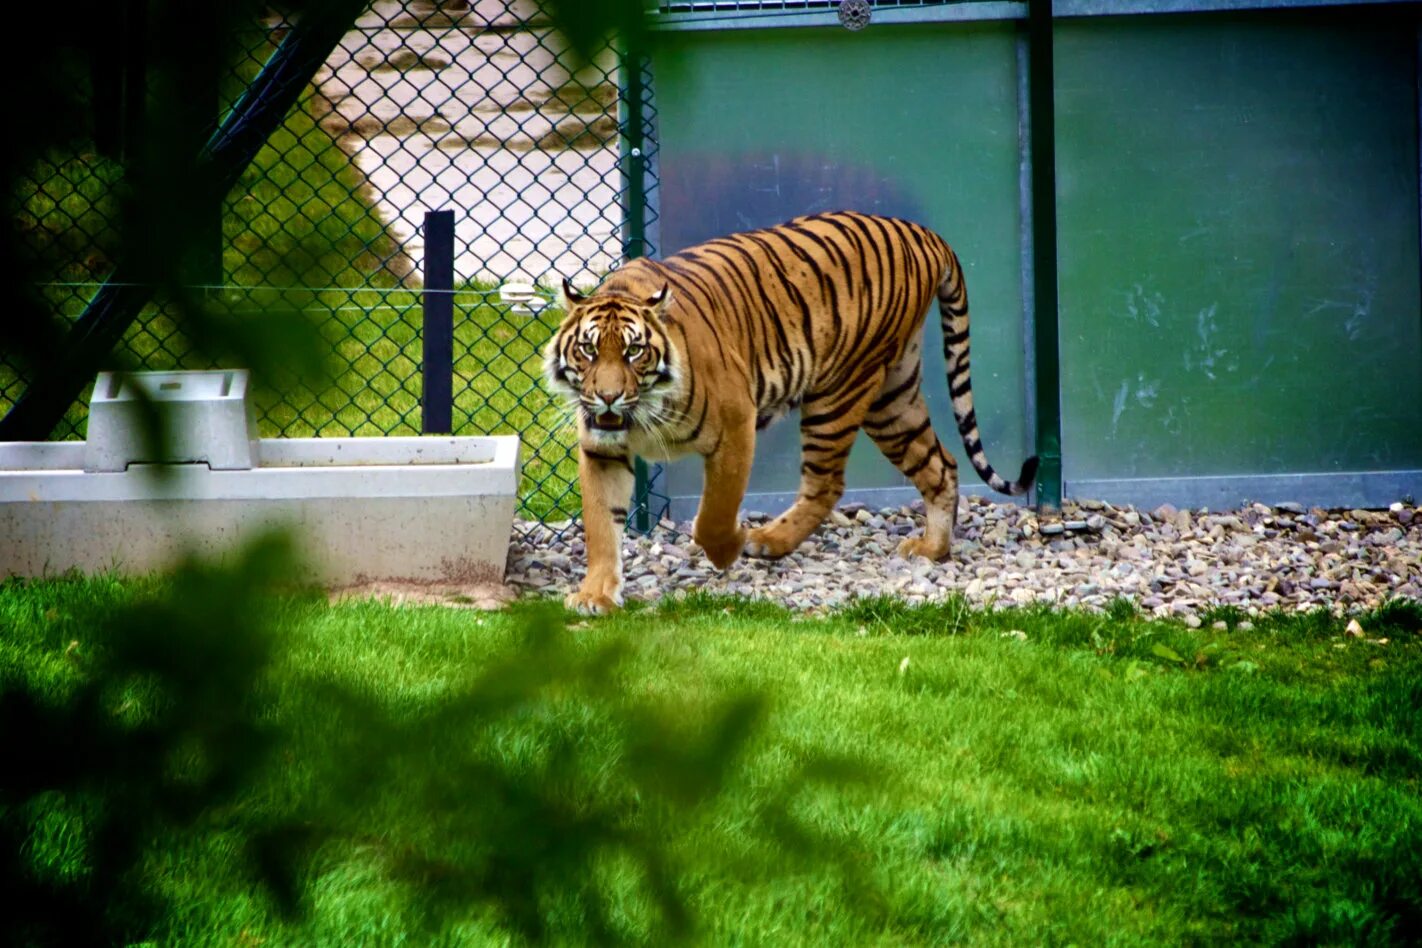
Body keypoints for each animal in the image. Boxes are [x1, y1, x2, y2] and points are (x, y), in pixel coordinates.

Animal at [543, 211, 1035, 616]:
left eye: (634, 352)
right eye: (588, 350)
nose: (607, 397)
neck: (640, 410)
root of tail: (923, 234)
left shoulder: (735, 425)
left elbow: (712, 516)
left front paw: (728, 549)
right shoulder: (602, 450)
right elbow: (601, 526)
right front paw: (595, 595)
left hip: (840, 391)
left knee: (827, 483)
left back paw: (767, 541)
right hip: (892, 398)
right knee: (940, 464)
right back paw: (932, 549)